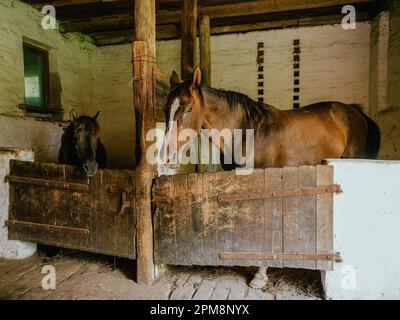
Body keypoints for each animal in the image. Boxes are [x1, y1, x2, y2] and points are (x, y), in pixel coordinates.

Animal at [160, 67, 382, 290]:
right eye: (165, 109)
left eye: (189, 109)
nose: (167, 157)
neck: (247, 132)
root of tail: (355, 111)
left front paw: (260, 274)